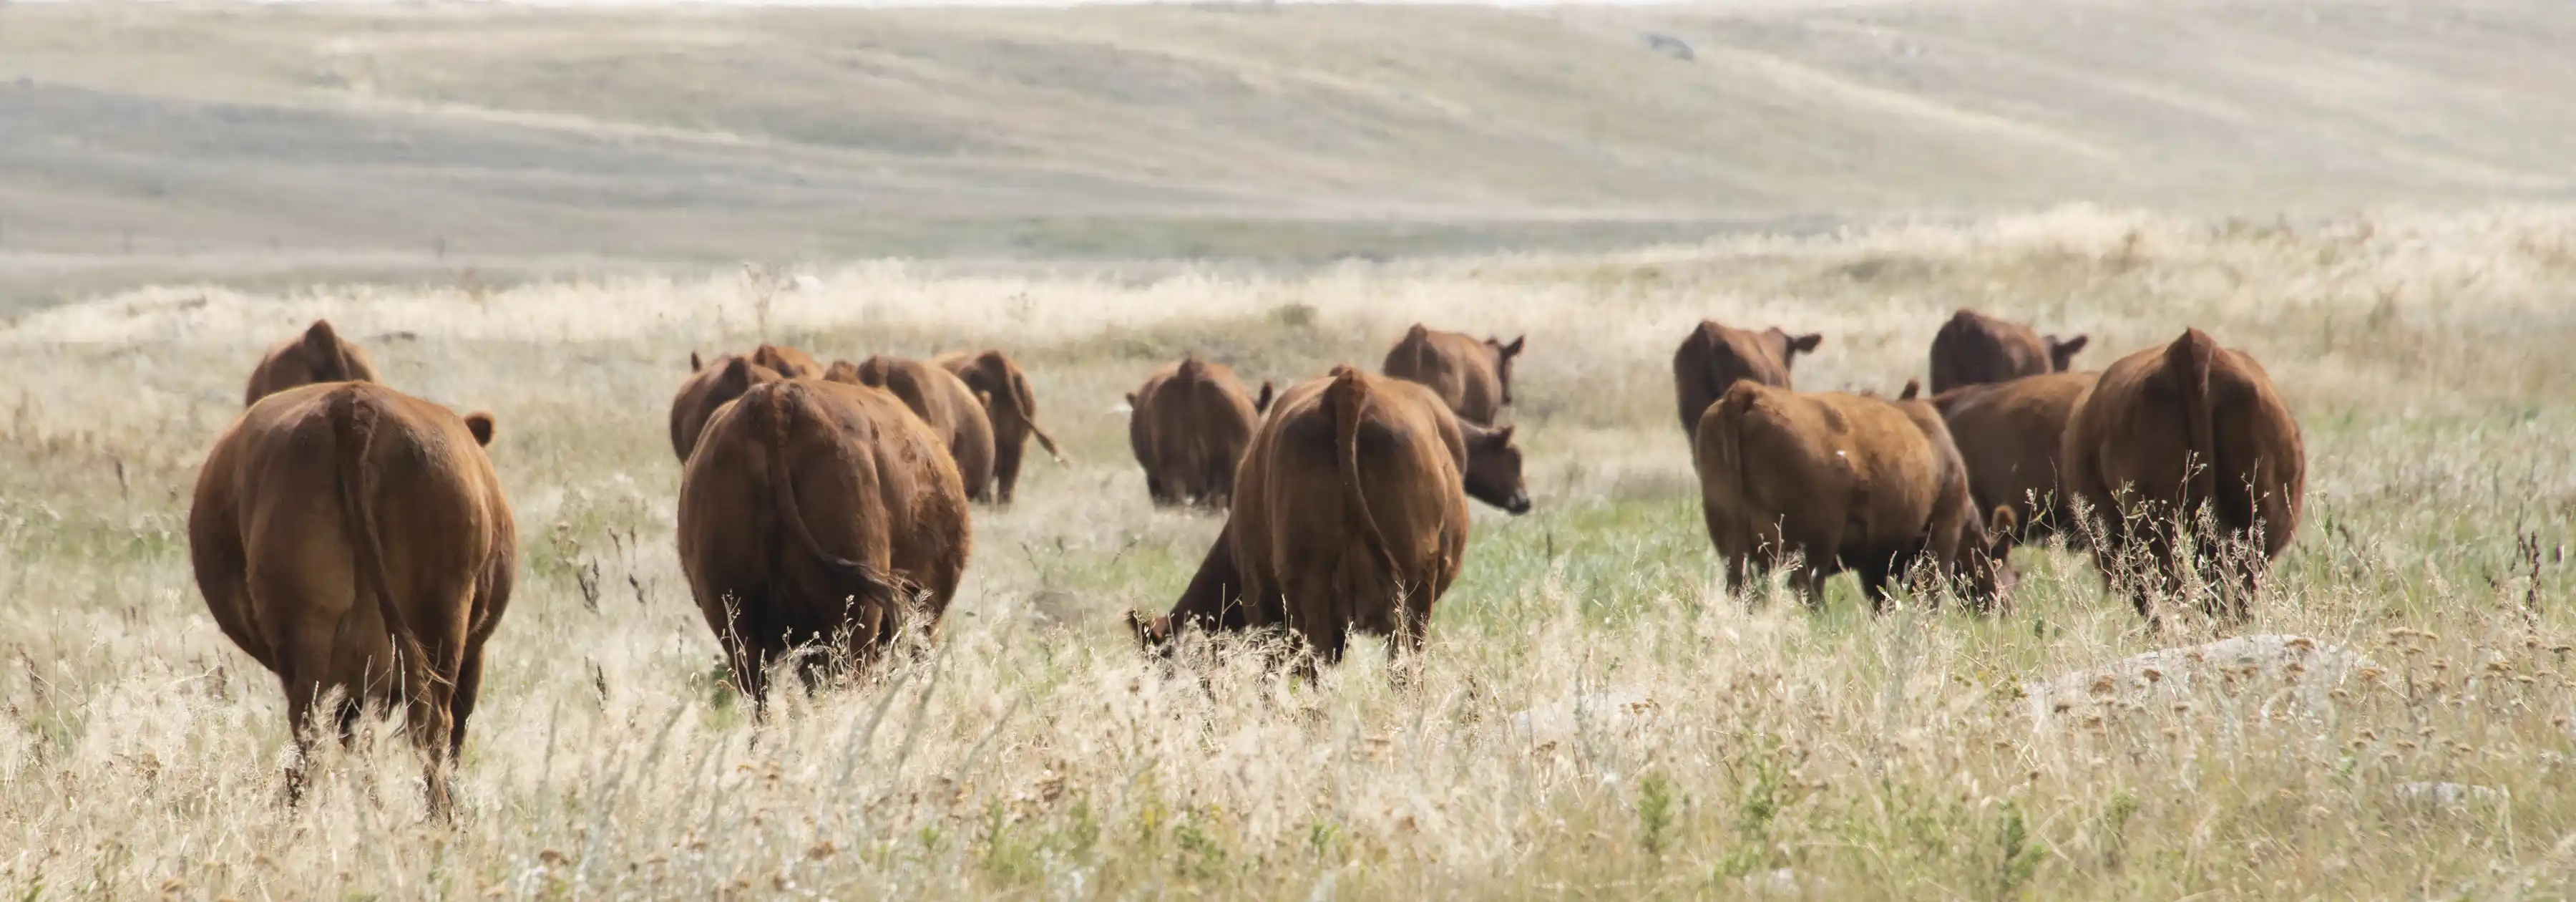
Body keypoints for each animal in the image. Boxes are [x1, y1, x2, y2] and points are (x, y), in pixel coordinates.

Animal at [188, 382, 516, 816]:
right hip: (444, 622)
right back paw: (438, 816)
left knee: (319, 729)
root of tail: (353, 404)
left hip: (319, 635)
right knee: (433, 725)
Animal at [1695, 379, 2015, 611]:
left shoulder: (1874, 560)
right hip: (1817, 542)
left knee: (1742, 587)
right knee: (1807, 589)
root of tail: (1749, 392)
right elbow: (1928, 594)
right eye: (2009, 571)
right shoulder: (1942, 534)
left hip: (1735, 547)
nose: (2005, 609)